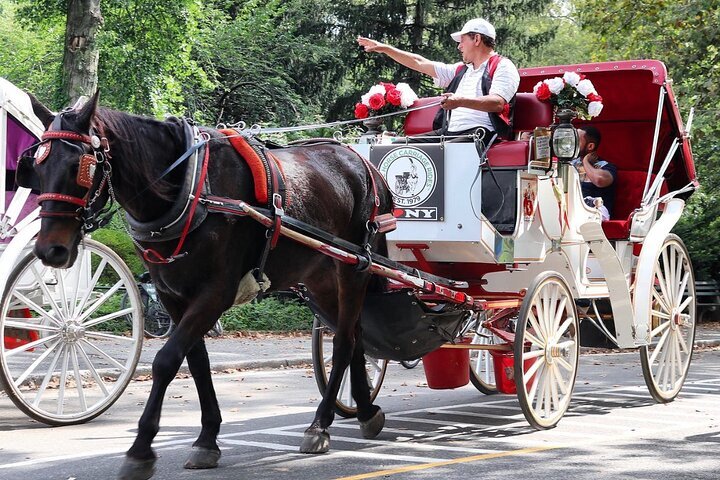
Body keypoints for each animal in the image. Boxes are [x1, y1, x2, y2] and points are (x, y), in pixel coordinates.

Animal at [21, 92, 394, 478]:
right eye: (37, 167)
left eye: (80, 166)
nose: (50, 250)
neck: (190, 190)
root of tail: (365, 166)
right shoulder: (173, 296)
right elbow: (196, 362)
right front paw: (207, 438)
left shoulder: (215, 293)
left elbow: (167, 361)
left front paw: (141, 449)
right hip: (319, 278)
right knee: (355, 336)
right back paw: (366, 410)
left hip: (353, 270)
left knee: (343, 341)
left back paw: (320, 425)